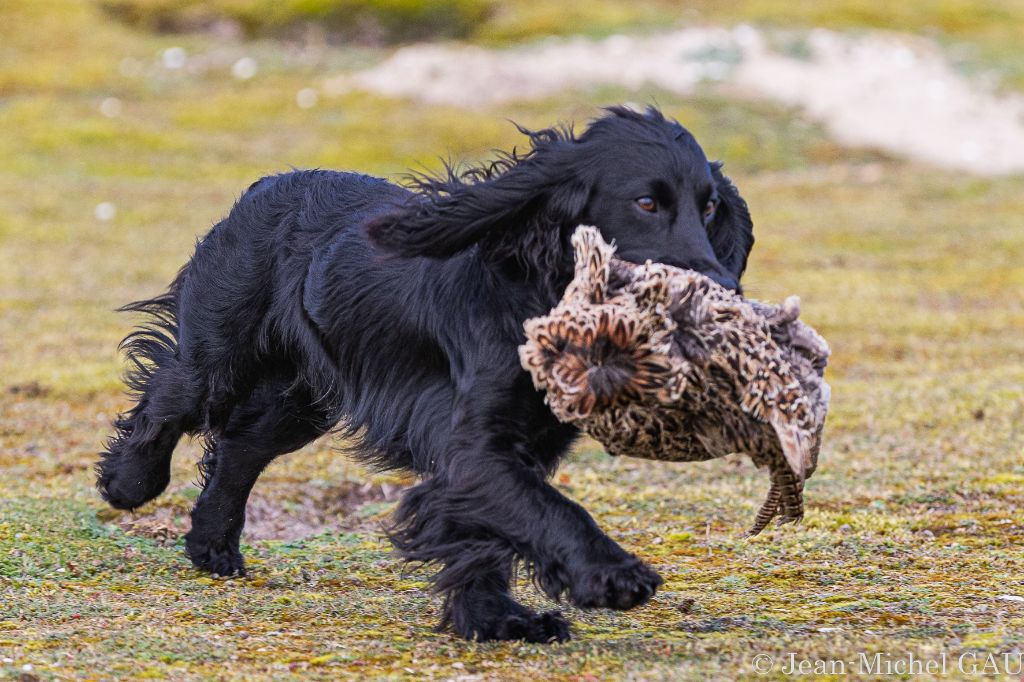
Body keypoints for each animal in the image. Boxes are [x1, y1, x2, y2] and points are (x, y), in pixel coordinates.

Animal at [97, 106, 753, 643]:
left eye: (710, 205)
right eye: (646, 203)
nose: (722, 287)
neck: (541, 295)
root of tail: (266, 184)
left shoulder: (515, 447)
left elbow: (492, 532)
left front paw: (495, 620)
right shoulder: (476, 447)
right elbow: (550, 511)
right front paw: (610, 574)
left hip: (302, 399)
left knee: (238, 449)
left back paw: (211, 545)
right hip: (220, 353)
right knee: (167, 400)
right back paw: (129, 484)